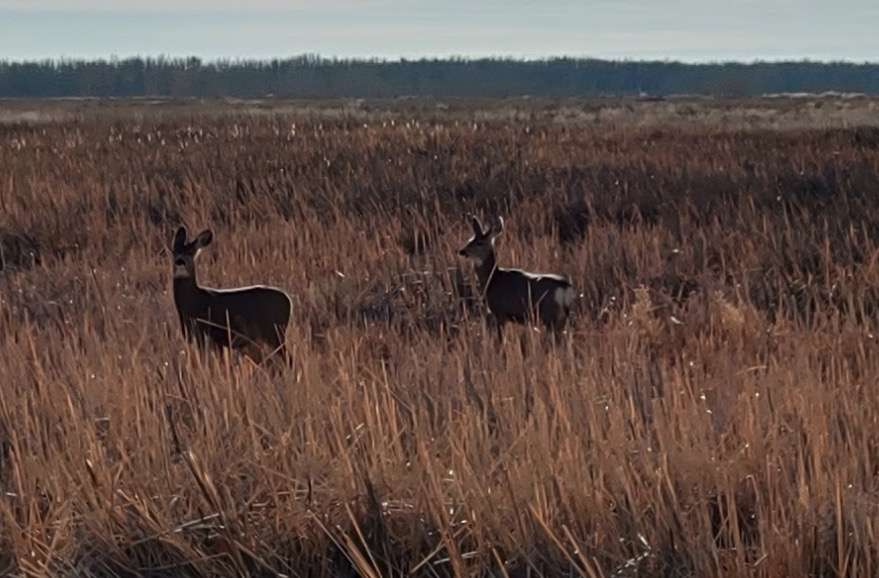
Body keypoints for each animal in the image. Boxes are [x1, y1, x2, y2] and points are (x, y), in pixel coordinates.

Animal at [170, 225, 292, 364]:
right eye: (173, 252)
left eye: (191, 252)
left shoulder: (211, 335)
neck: (193, 303)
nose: (180, 261)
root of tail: (288, 300)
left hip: (275, 332)